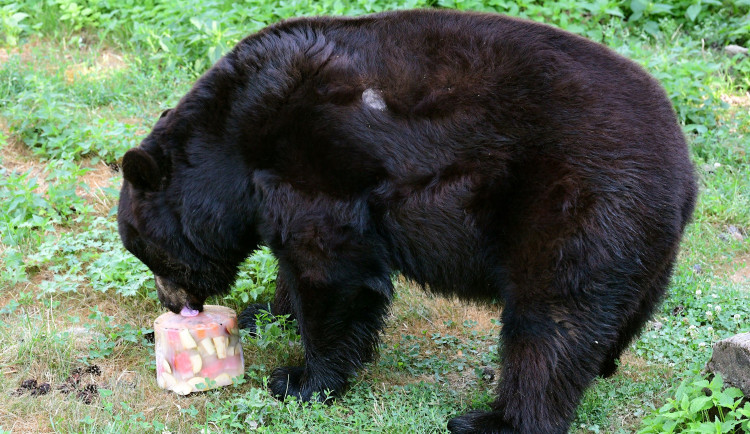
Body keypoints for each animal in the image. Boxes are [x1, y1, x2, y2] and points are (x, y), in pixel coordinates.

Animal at [117, 7, 700, 434]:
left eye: (147, 252)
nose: (177, 305)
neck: (236, 136)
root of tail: (684, 172)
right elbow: (294, 265)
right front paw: (268, 313)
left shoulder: (316, 166)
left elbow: (332, 271)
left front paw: (301, 381)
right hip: (642, 248)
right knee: (613, 319)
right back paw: (601, 365)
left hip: (575, 207)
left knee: (550, 325)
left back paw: (493, 420)